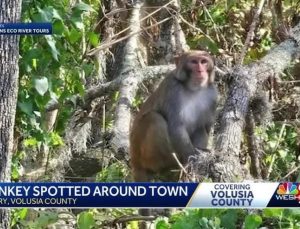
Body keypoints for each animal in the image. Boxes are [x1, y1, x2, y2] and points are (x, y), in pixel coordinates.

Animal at [130, 50, 217, 182]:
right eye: (193, 62)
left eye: (203, 62)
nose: (200, 70)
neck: (192, 89)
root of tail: (134, 162)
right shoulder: (172, 88)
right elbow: (176, 126)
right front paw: (193, 156)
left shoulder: (212, 94)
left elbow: (205, 127)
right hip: (141, 153)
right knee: (154, 119)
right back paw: (172, 164)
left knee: (200, 128)